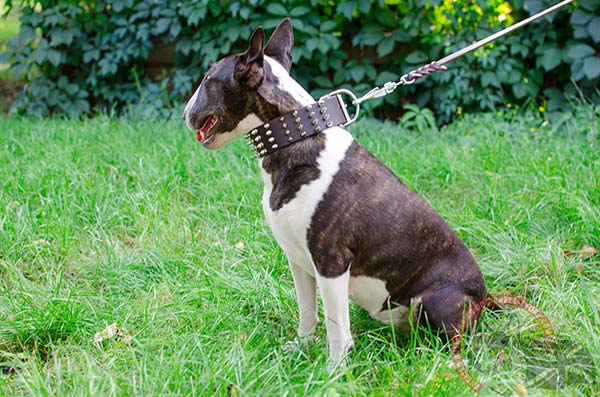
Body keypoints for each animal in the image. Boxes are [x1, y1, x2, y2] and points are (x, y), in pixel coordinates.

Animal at [184, 20, 488, 364]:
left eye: (208, 79)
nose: (184, 113)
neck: (296, 138)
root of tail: (485, 297)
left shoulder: (331, 262)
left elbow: (337, 328)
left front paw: (333, 369)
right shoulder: (298, 260)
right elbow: (307, 311)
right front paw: (300, 348)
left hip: (434, 301)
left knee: (457, 341)